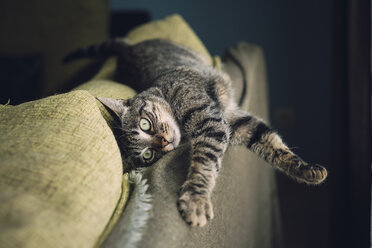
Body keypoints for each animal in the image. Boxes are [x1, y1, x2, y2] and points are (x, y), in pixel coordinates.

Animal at [65, 38, 326, 227]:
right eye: (148, 155)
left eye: (145, 124)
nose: (163, 142)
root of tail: (126, 48)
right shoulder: (228, 125)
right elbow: (262, 145)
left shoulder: (216, 121)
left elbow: (266, 146)